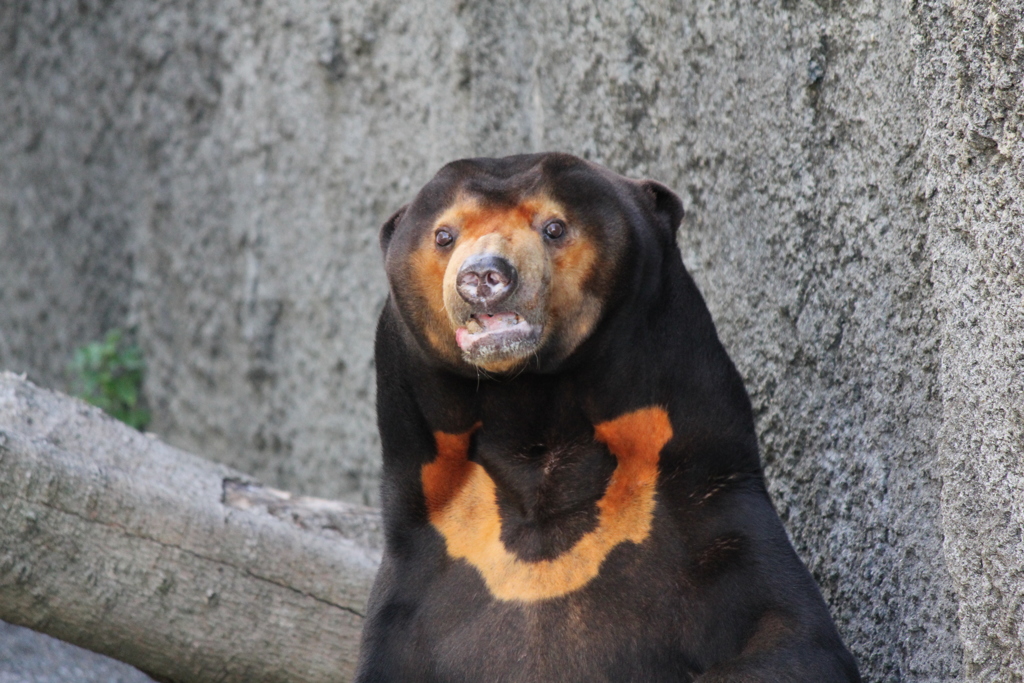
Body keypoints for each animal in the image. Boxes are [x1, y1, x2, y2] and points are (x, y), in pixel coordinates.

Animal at [356, 152, 860, 679]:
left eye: (554, 227)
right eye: (444, 235)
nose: (483, 276)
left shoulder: (712, 513)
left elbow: (793, 635)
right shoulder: (419, 571)